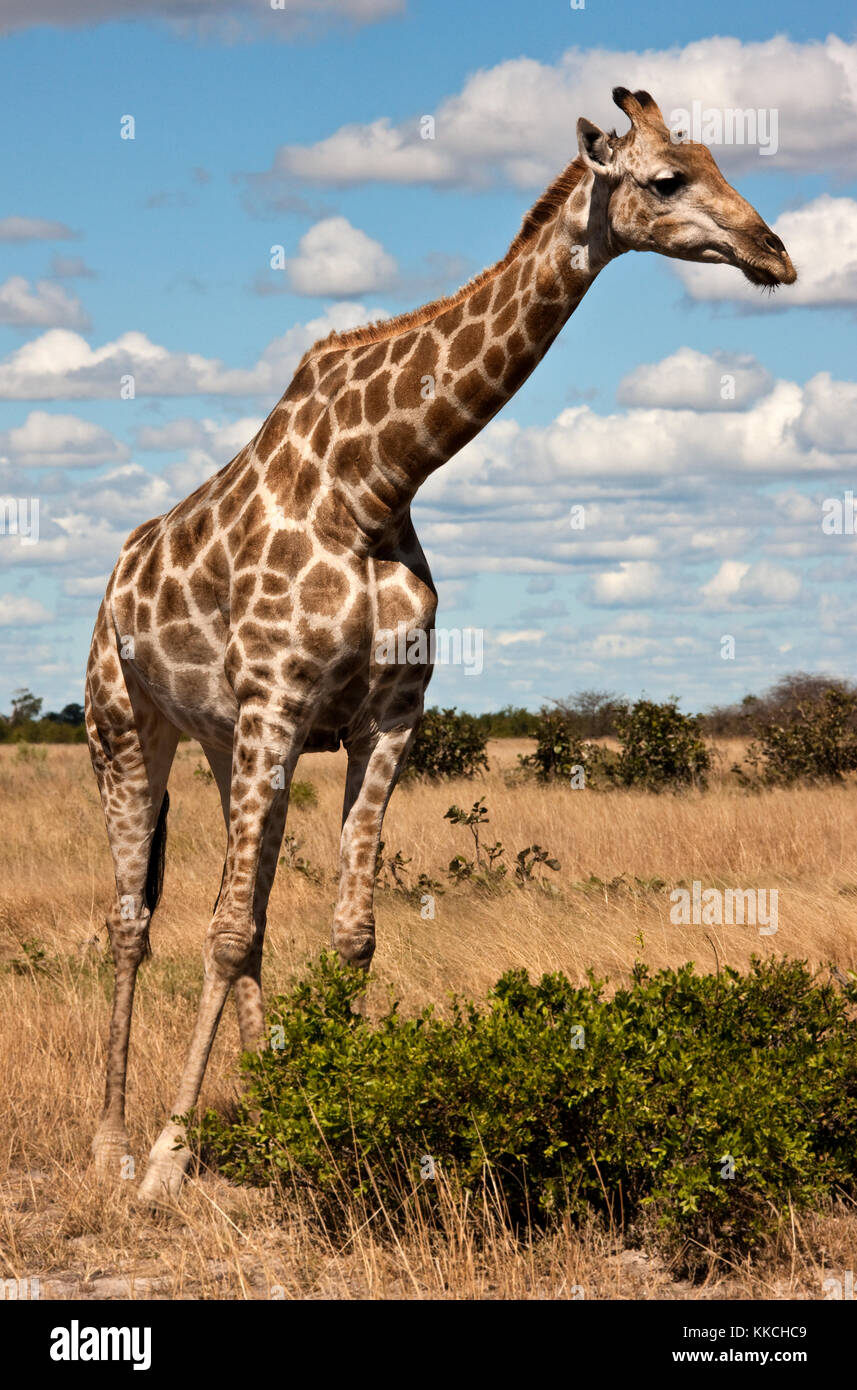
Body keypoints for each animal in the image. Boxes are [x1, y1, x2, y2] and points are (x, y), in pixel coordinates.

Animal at [86, 86, 794, 1200]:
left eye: (722, 161)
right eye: (665, 178)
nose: (775, 253)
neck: (376, 480)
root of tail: (116, 577)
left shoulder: (385, 717)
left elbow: (344, 934)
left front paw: (327, 1119)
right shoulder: (280, 700)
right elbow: (229, 928)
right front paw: (168, 1159)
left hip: (222, 741)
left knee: (232, 913)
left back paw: (258, 1100)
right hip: (123, 726)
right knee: (132, 920)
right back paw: (112, 1145)